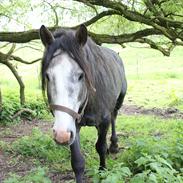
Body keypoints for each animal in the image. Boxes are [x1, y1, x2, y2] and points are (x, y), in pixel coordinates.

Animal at [38, 24, 127, 183]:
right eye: (48, 76)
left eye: (81, 75)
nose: (61, 134)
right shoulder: (73, 125)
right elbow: (77, 162)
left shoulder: (104, 120)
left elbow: (100, 147)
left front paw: (102, 170)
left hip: (119, 101)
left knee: (114, 117)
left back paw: (114, 145)